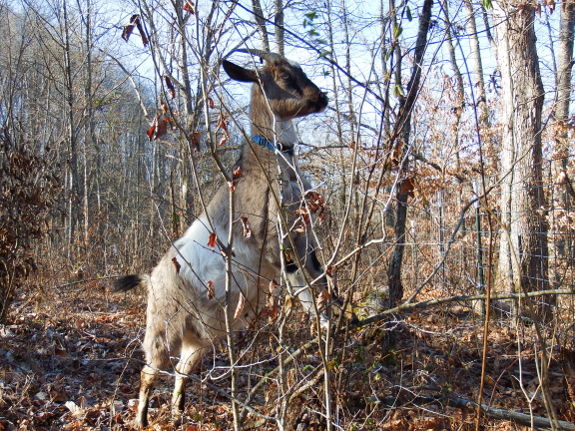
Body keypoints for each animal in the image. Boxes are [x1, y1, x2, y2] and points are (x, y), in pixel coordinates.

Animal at [115, 49, 344, 428]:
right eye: (283, 76)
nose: (321, 99)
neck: (269, 162)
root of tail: (151, 278)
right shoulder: (278, 242)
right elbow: (304, 286)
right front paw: (324, 326)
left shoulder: (305, 236)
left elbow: (319, 275)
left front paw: (336, 317)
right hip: (164, 324)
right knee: (150, 369)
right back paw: (143, 420)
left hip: (197, 334)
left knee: (183, 370)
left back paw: (177, 414)